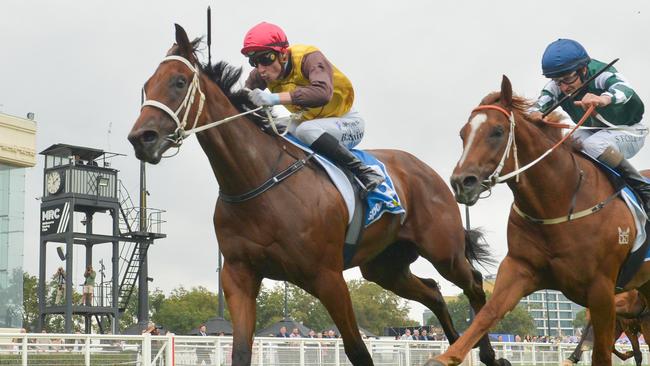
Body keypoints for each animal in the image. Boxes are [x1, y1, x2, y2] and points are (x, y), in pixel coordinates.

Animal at [126, 25, 502, 366]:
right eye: (146, 86)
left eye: (179, 82)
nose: (140, 138)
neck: (258, 180)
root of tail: (427, 171)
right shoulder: (238, 275)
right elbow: (241, 350)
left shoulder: (327, 276)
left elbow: (358, 350)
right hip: (385, 266)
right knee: (434, 292)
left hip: (443, 250)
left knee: (473, 283)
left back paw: (490, 354)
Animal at [426, 75, 648, 366]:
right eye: (463, 134)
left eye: (497, 131)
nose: (462, 182)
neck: (559, 201)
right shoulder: (519, 268)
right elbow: (487, 314)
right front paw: (445, 358)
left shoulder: (602, 290)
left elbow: (601, 353)